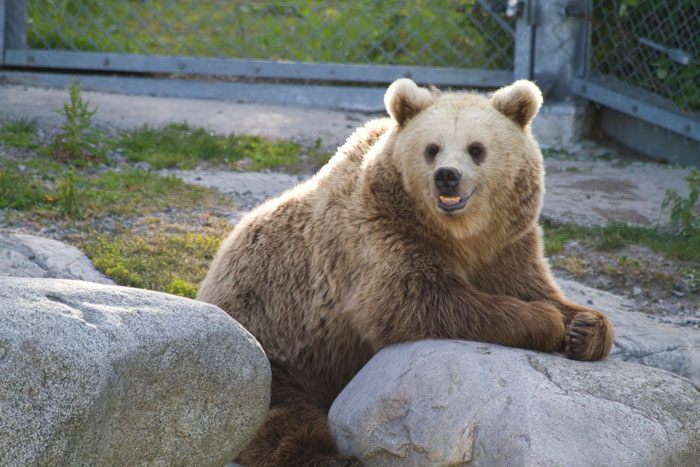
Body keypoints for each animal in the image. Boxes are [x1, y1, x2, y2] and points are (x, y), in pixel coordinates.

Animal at [197, 78, 615, 466]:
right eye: (432, 148)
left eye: (476, 149)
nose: (447, 175)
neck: (460, 236)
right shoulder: (380, 240)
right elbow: (420, 302)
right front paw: (546, 322)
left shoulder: (507, 247)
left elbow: (536, 286)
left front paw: (585, 328)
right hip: (267, 348)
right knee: (279, 416)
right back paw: (326, 455)